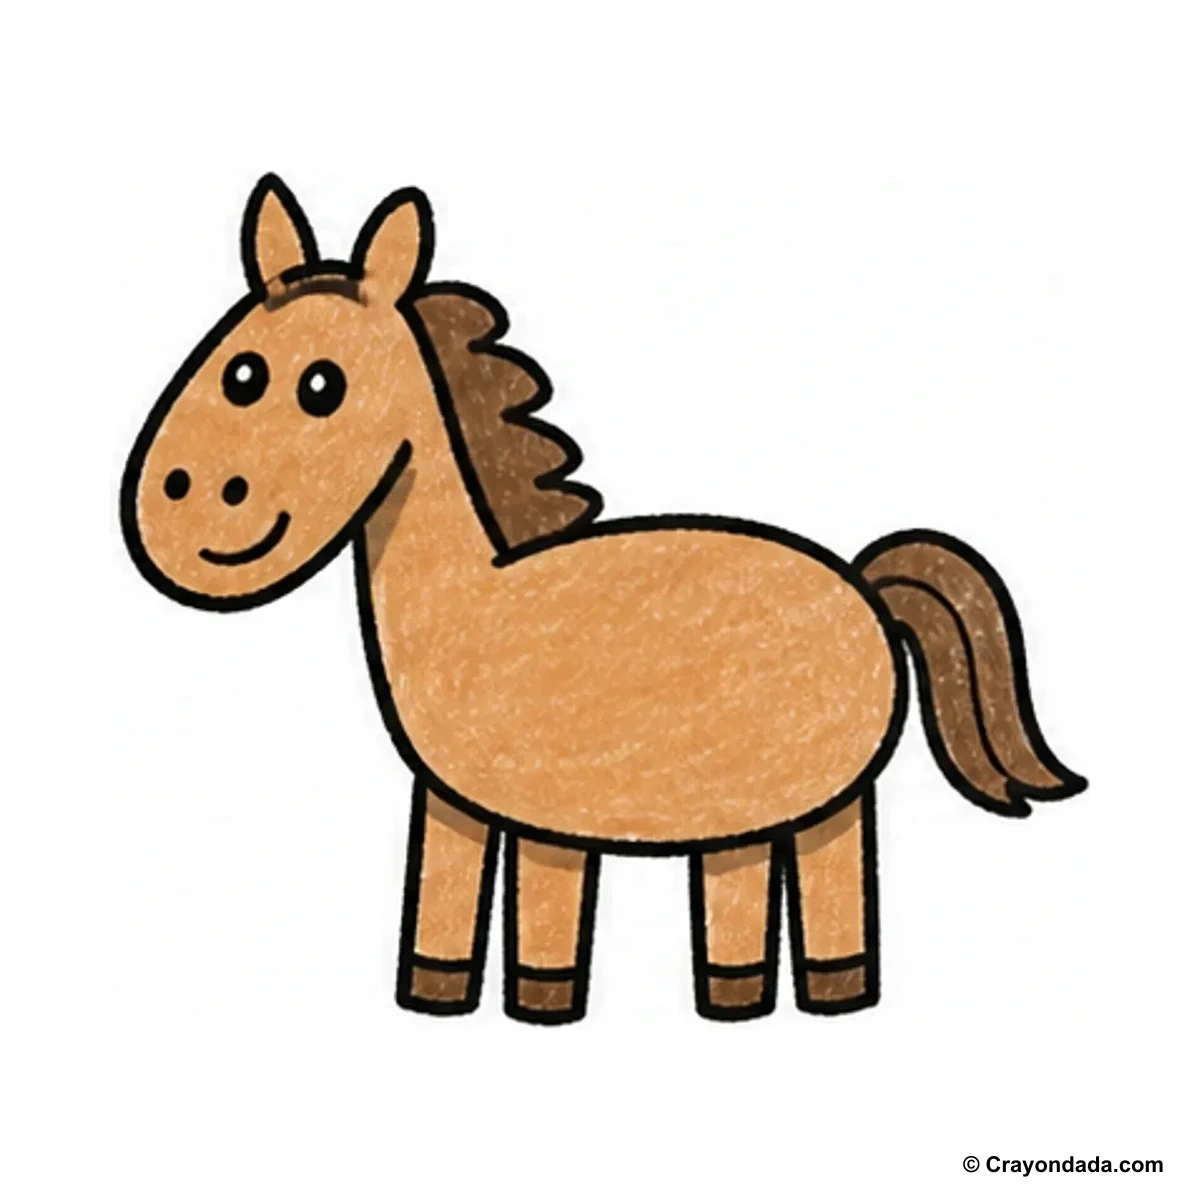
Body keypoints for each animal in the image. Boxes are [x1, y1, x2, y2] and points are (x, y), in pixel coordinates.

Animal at [120, 176, 1086, 1024]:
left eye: (320, 385)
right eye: (238, 367)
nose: (180, 502)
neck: (470, 601)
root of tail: (864, 584)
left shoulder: (546, 811)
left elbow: (547, 929)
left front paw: (541, 1010)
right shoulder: (452, 806)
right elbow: (441, 913)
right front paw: (435, 998)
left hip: (808, 798)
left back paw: (798, 995)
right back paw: (771, 995)